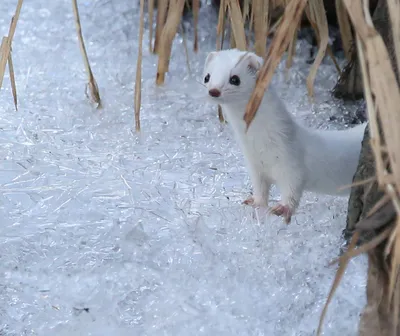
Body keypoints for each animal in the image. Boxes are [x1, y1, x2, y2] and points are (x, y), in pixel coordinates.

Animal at [203, 48, 366, 223]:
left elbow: (293, 188)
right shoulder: (255, 166)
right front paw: (255, 203)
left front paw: (282, 208)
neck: (259, 145)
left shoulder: (291, 162)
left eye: (235, 79)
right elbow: (260, 188)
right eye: (207, 76)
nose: (213, 91)